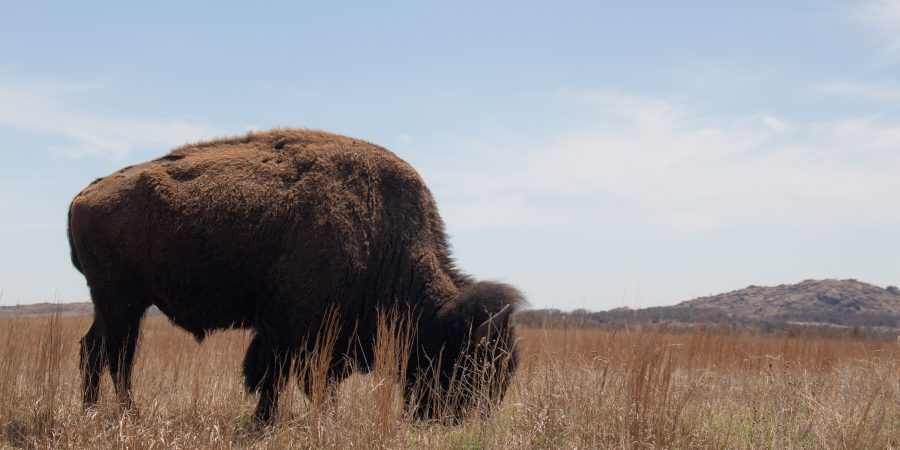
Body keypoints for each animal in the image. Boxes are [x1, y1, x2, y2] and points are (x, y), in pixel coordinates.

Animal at [67, 129, 524, 423]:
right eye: (471, 362)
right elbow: (281, 375)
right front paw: (270, 422)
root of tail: (85, 194)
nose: (463, 420)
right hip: (121, 304)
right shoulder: (291, 326)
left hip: (117, 307)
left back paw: (97, 412)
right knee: (114, 356)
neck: (382, 231)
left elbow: (302, 378)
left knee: (96, 351)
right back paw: (125, 414)